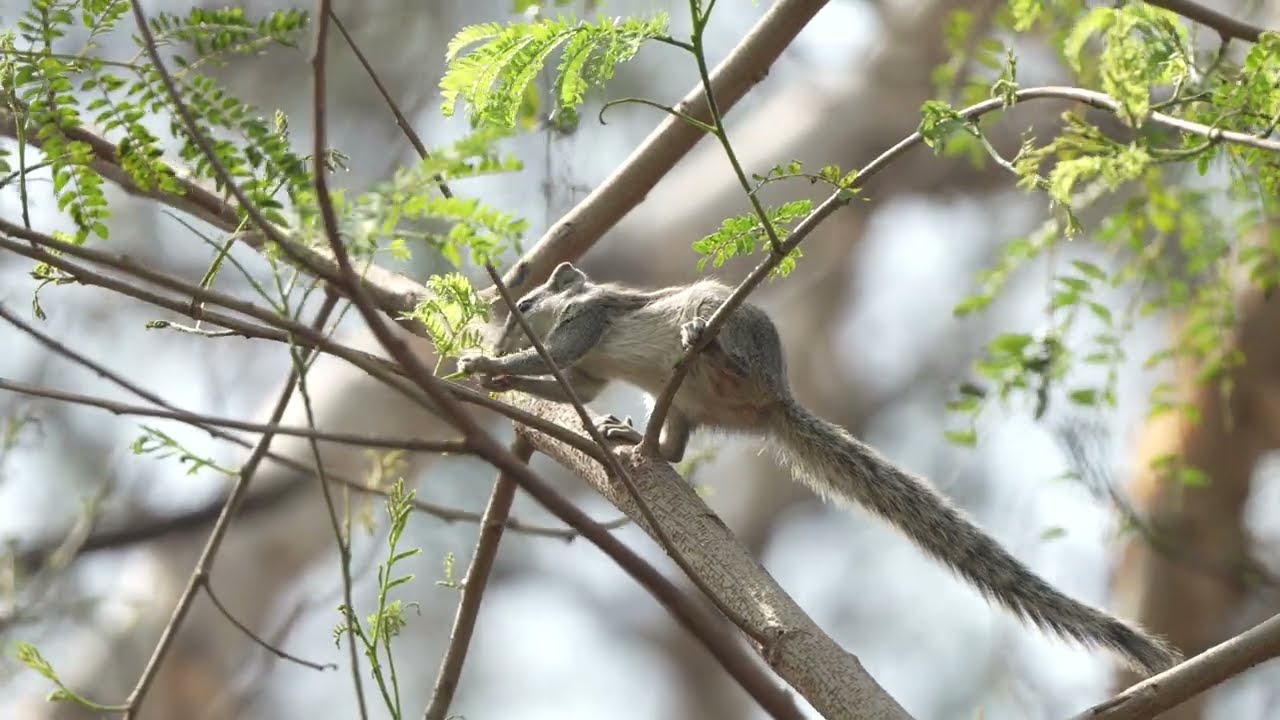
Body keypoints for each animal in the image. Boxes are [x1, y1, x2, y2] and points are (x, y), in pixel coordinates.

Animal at [457, 261, 1181, 675]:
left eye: (525, 305)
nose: (496, 334)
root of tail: (775, 396)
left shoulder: (587, 323)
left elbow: (553, 360)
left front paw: (487, 365)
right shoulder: (581, 370)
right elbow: (565, 384)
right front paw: (500, 376)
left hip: (721, 321)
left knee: (711, 340)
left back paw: (700, 342)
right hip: (685, 404)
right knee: (676, 450)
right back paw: (634, 437)